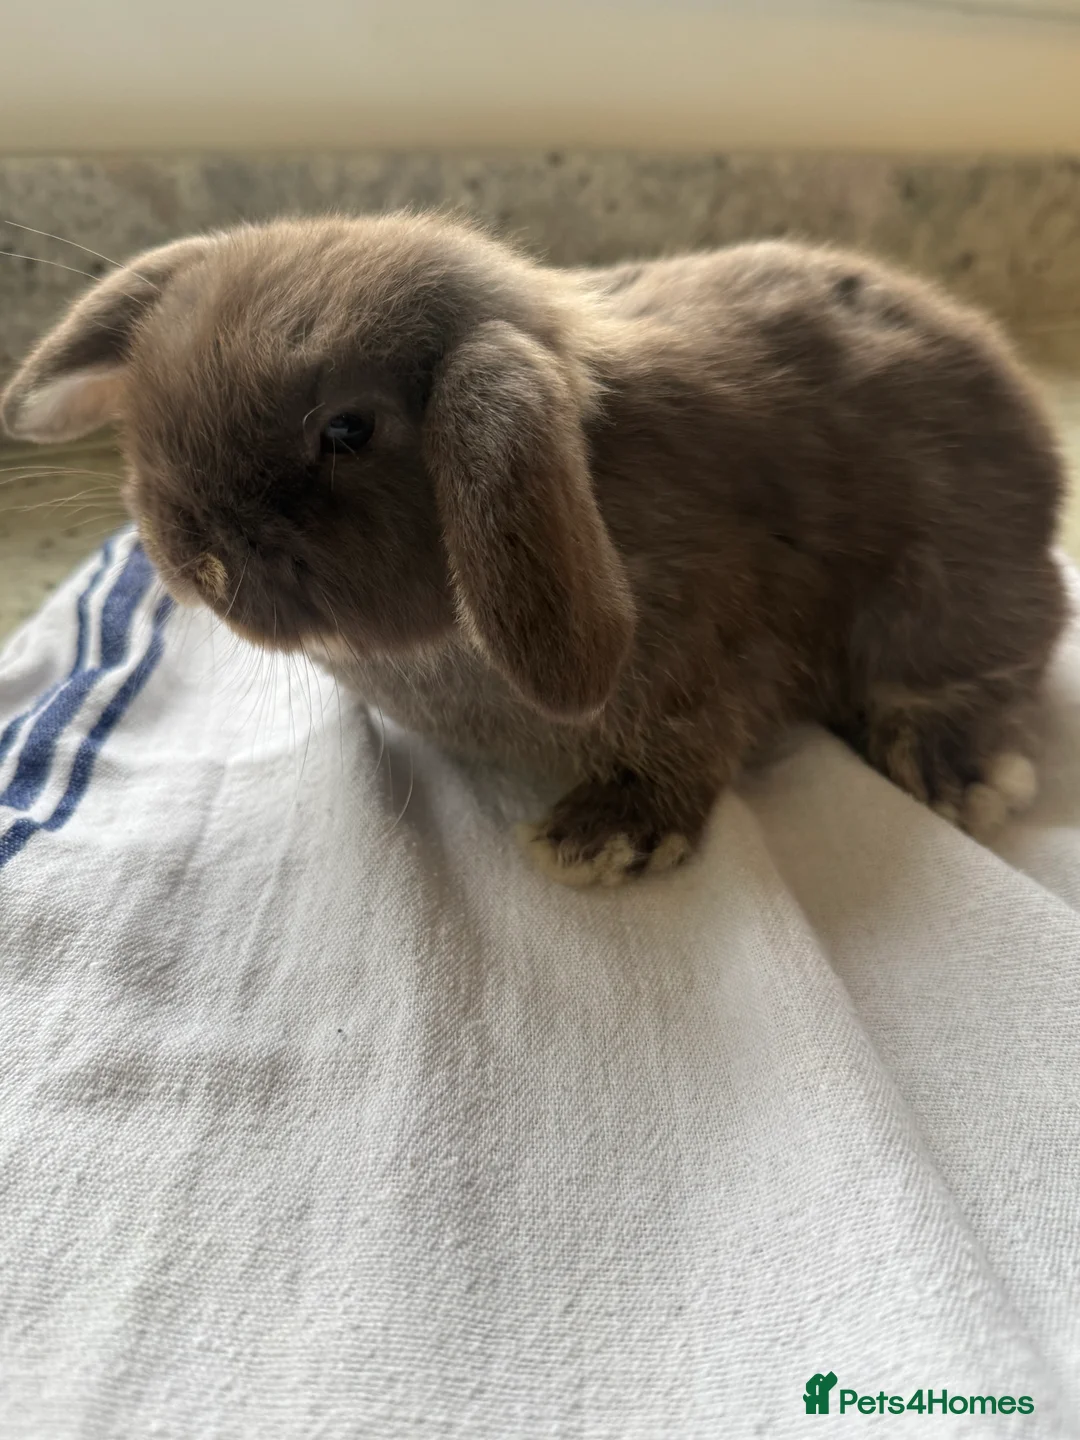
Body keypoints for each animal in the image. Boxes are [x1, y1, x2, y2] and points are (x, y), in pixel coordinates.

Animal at [1, 213, 1068, 886]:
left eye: (348, 430)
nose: (192, 558)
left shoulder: (705, 669)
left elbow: (687, 752)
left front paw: (602, 841)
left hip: (947, 597)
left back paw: (958, 773)